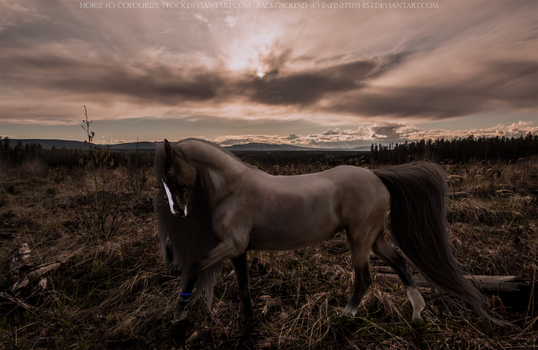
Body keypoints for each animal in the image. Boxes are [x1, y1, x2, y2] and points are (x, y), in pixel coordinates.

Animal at [152, 137, 502, 326]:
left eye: (169, 171)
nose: (178, 211)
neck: (232, 188)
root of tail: (377, 176)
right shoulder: (238, 249)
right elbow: (244, 285)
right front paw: (248, 319)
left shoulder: (229, 245)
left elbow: (195, 266)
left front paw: (179, 313)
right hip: (375, 238)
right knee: (401, 264)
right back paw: (417, 313)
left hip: (359, 238)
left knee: (365, 278)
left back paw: (346, 314)